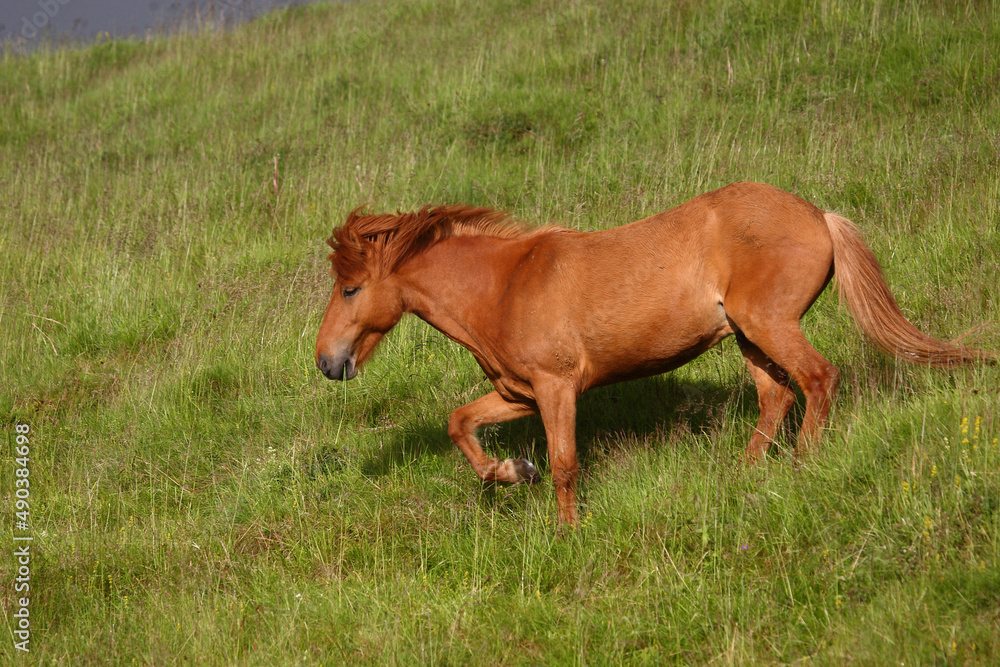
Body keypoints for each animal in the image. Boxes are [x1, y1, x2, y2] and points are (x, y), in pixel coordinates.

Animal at [315, 181, 992, 524]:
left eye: (350, 288)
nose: (326, 361)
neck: (505, 285)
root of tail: (817, 215)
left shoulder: (557, 388)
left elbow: (566, 465)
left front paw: (567, 534)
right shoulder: (518, 393)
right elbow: (461, 424)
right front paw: (510, 472)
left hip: (770, 325)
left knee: (819, 380)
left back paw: (802, 471)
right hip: (749, 337)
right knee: (776, 397)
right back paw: (742, 479)